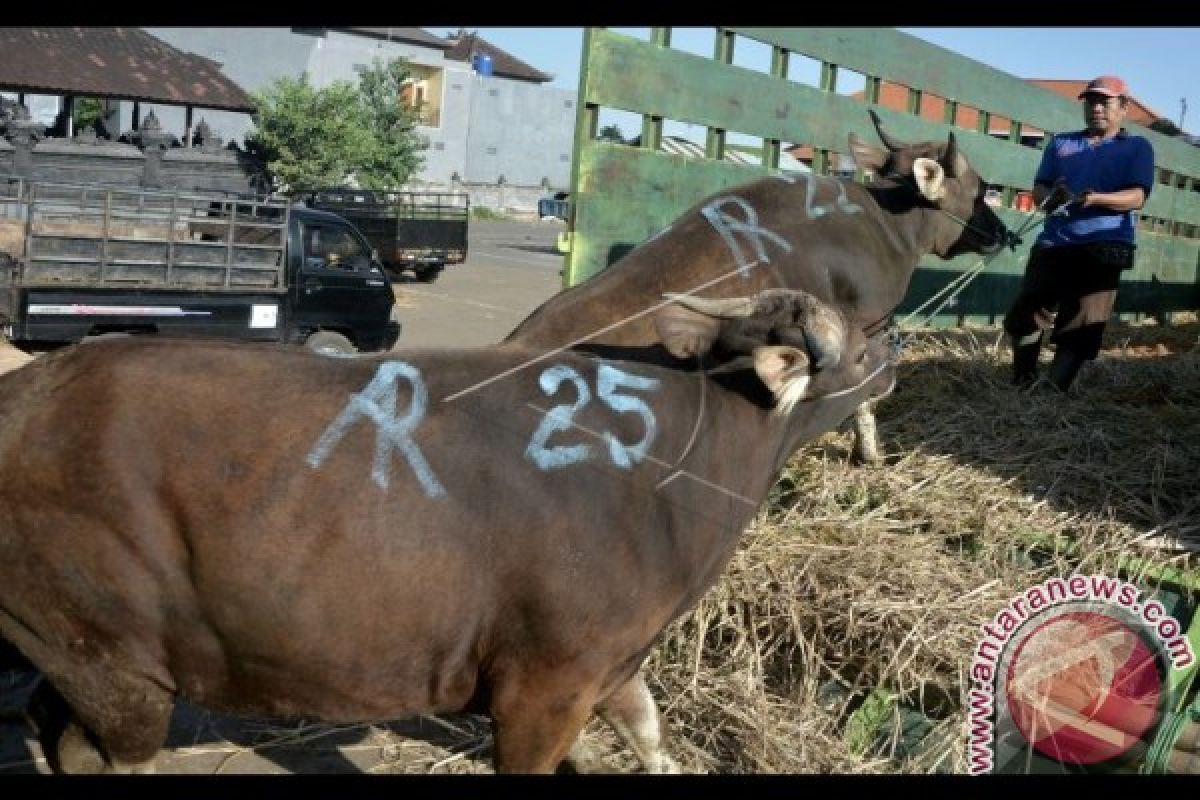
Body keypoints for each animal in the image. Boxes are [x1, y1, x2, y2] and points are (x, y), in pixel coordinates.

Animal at [0, 286, 892, 767]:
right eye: (851, 350)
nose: (892, 353)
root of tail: (30, 390)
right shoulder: (545, 682)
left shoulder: (610, 667)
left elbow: (648, 739)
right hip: (111, 663)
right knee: (94, 748)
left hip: (72, 650)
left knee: (50, 726)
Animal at [506, 110, 1012, 465]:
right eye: (979, 186)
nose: (1002, 232)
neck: (886, 224)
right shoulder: (869, 323)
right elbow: (865, 396)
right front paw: (869, 453)